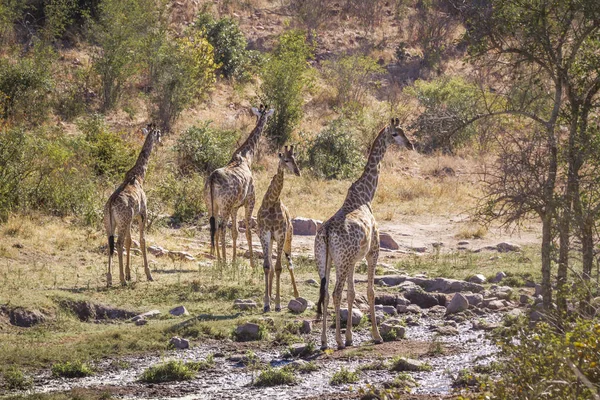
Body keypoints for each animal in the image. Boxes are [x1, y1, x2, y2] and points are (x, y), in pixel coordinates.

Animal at [104, 123, 162, 286]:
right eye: (159, 134)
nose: (161, 143)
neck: (139, 175)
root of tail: (110, 206)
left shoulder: (131, 218)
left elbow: (130, 241)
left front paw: (130, 274)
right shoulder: (142, 213)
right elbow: (142, 240)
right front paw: (149, 274)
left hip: (110, 223)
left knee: (110, 243)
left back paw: (110, 279)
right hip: (122, 222)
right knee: (118, 243)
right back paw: (122, 280)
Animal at [205, 104, 274, 268]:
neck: (246, 156)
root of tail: (212, 179)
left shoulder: (235, 207)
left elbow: (236, 232)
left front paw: (235, 261)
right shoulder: (250, 200)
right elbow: (248, 232)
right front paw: (253, 265)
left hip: (211, 205)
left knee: (214, 227)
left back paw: (217, 258)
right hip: (225, 205)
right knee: (222, 227)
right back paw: (223, 261)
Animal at [256, 145, 302, 312]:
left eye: (295, 159)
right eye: (286, 160)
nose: (298, 172)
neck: (271, 202)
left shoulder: (281, 234)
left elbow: (278, 268)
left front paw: (277, 304)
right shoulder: (264, 234)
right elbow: (267, 266)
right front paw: (266, 303)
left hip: (288, 239)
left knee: (289, 264)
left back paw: (296, 294)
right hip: (272, 240)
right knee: (270, 264)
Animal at [314, 117, 412, 348]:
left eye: (403, 131)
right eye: (395, 134)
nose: (410, 144)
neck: (366, 195)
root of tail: (326, 233)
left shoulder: (352, 260)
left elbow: (352, 293)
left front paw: (350, 337)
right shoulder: (373, 252)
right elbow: (370, 291)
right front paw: (376, 336)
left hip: (324, 260)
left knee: (325, 293)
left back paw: (324, 341)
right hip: (340, 261)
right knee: (335, 292)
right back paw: (337, 341)